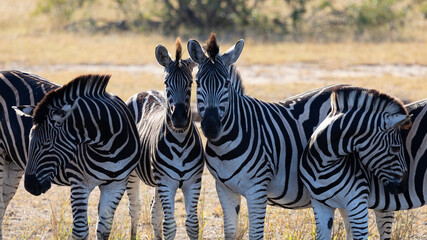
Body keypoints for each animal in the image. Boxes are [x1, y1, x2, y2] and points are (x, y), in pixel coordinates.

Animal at [15, 74, 140, 239]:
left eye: (47, 144)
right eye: (29, 140)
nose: (30, 186)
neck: (109, 148)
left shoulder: (117, 184)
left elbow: (104, 229)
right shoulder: (79, 182)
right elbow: (80, 232)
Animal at [125, 38, 204, 239]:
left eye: (190, 83)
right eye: (167, 82)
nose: (179, 119)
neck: (180, 142)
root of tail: (145, 91)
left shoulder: (193, 181)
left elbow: (192, 224)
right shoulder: (167, 182)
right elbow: (169, 226)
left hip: (158, 181)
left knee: (155, 211)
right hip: (133, 174)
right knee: (135, 209)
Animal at [189, 33, 360, 240]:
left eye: (226, 84)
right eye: (198, 82)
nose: (211, 127)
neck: (224, 146)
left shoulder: (257, 189)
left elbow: (255, 235)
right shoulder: (224, 188)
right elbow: (229, 232)